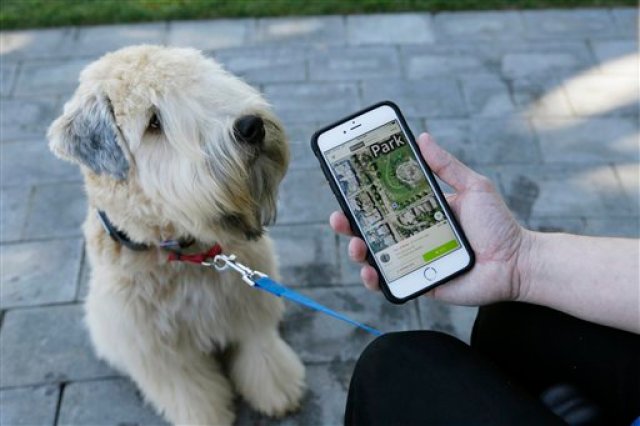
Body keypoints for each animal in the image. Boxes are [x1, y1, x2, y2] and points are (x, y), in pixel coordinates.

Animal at [47, 45, 304, 424]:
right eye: (154, 122)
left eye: (203, 81)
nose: (250, 127)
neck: (182, 252)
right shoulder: (156, 348)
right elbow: (189, 391)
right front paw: (209, 417)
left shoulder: (249, 307)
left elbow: (261, 352)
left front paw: (278, 392)